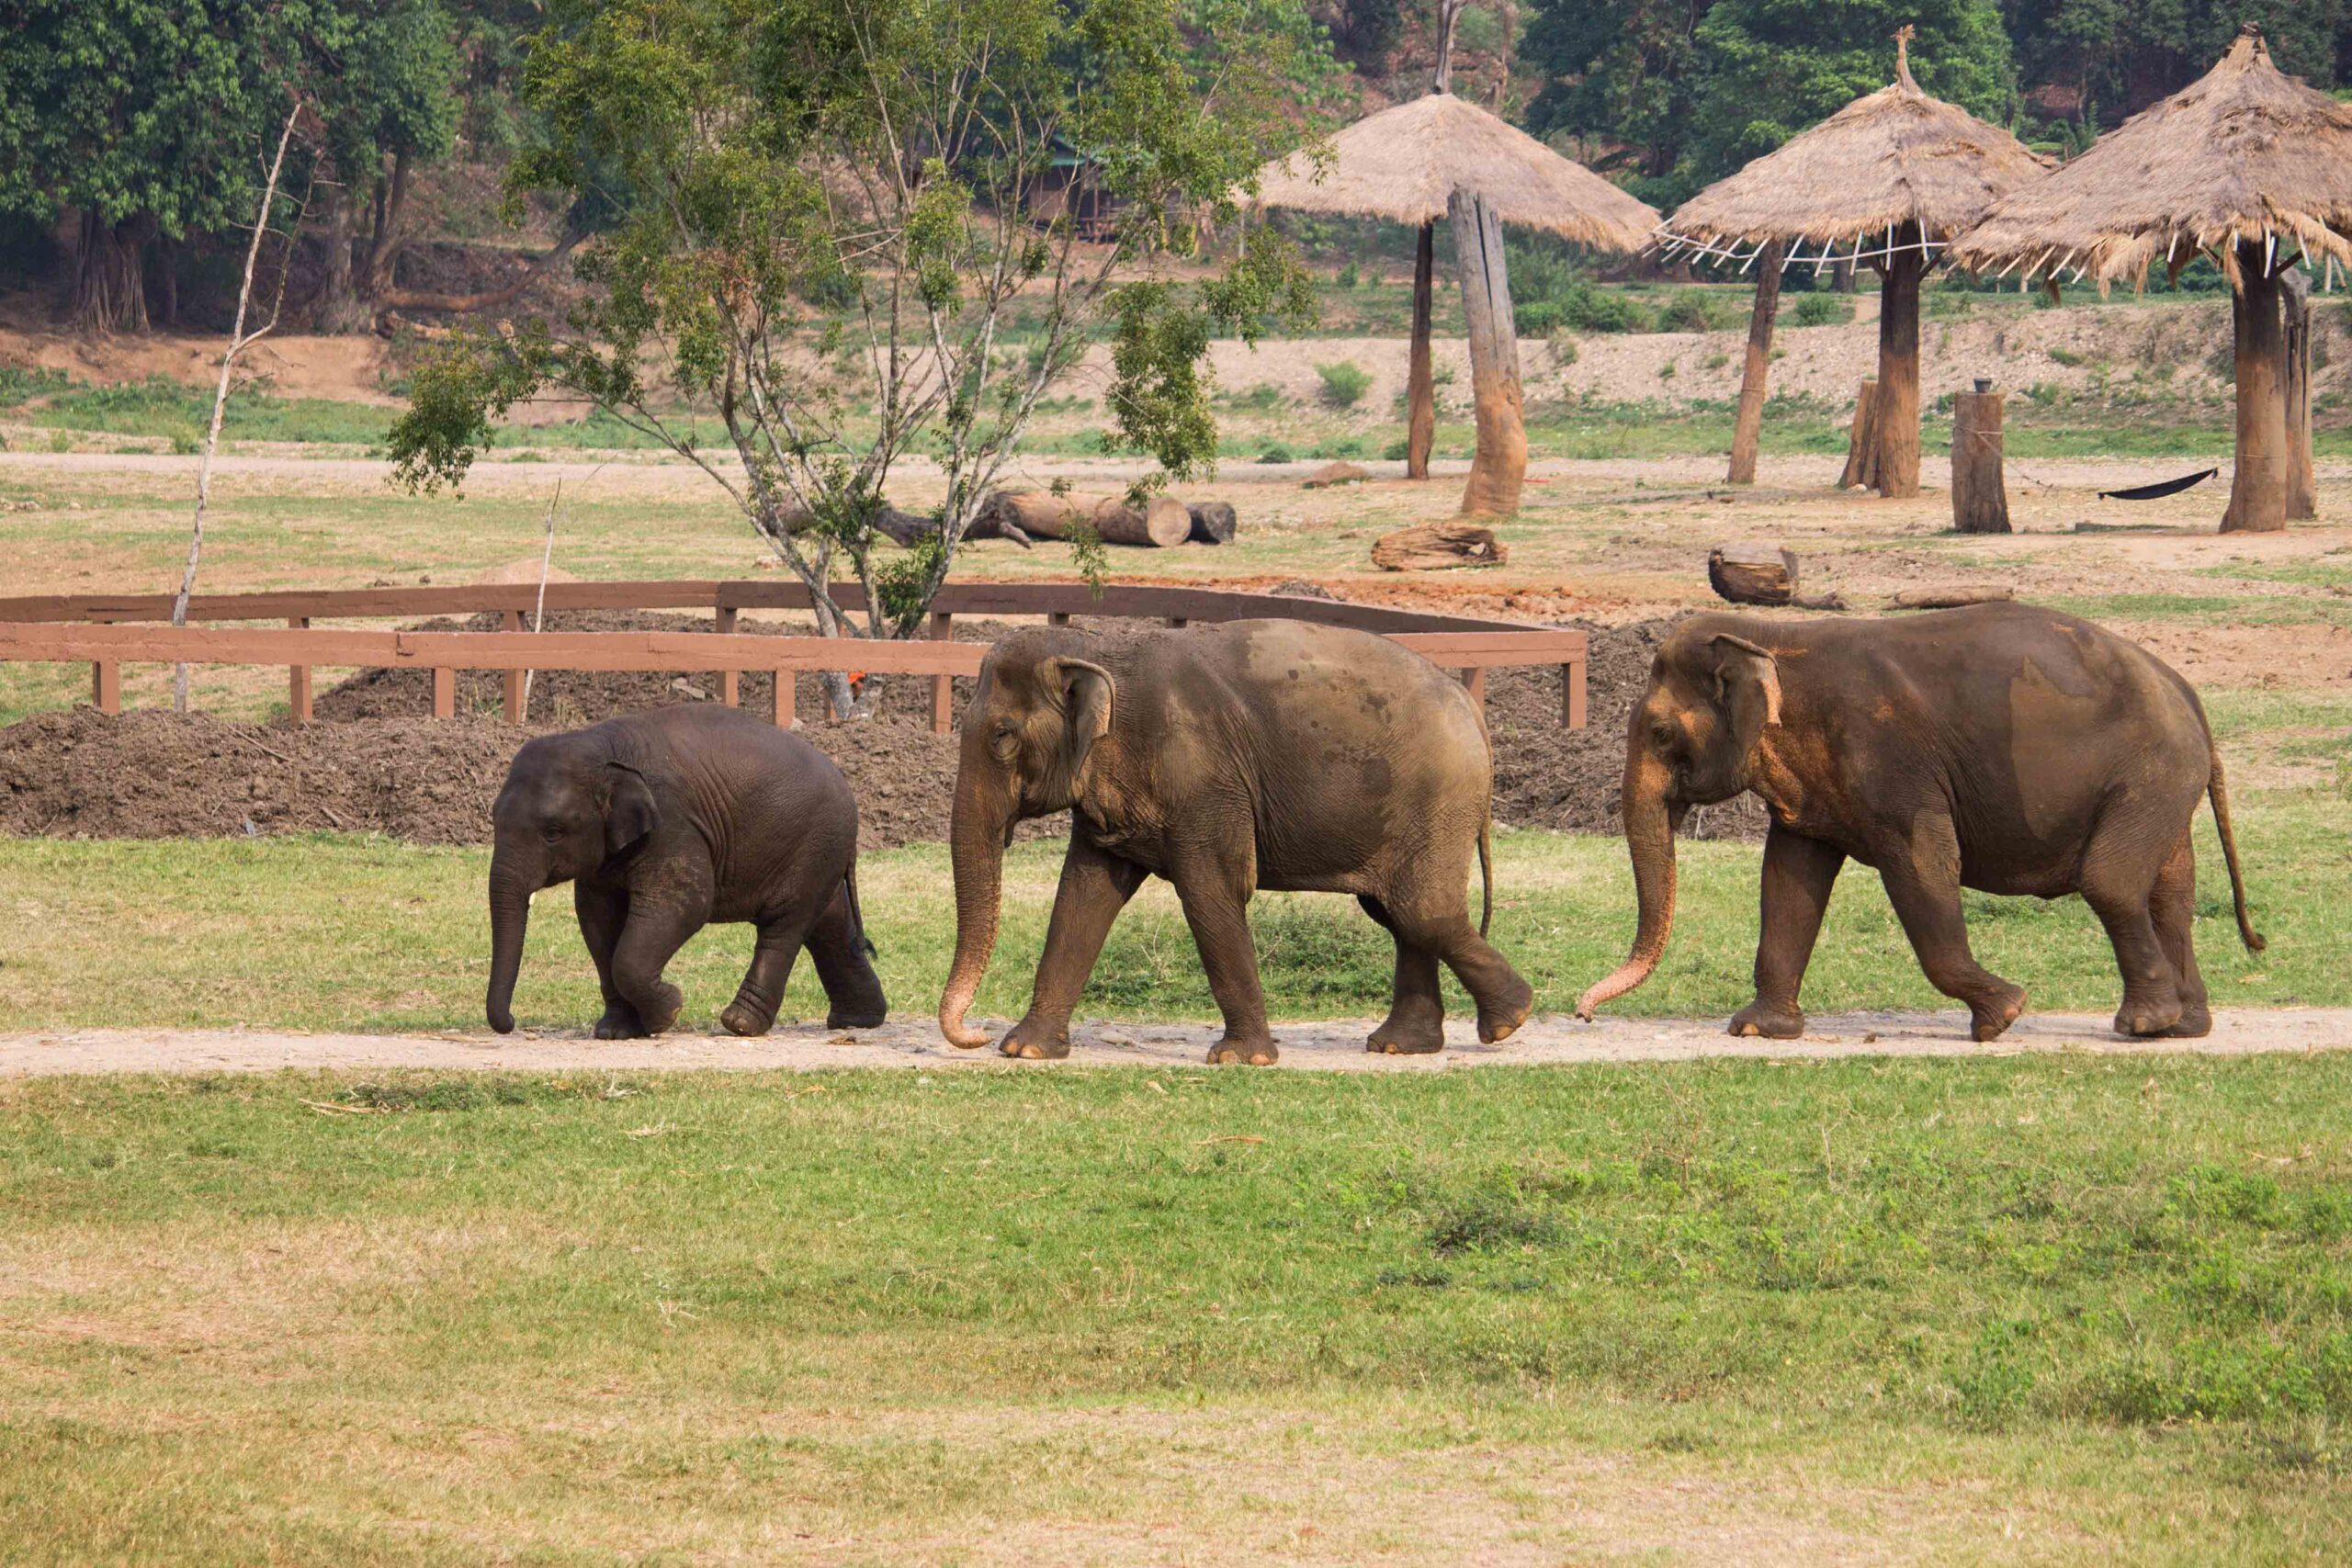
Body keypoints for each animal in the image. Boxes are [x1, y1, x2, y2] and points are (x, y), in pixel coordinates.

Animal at [485, 704, 888, 1039]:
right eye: (493, 819)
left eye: (553, 832)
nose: (511, 1023)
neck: (601, 745)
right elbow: (597, 918)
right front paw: (616, 1032)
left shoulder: (673, 823)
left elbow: (686, 903)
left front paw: (668, 1012)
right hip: (820, 851)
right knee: (829, 925)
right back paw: (856, 1022)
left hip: (812, 842)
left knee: (784, 926)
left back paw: (740, 1025)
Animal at [936, 620, 1534, 1065]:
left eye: (1002, 736)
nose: (977, 1035)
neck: (1102, 648)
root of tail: (1471, 706)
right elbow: (1084, 895)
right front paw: (1026, 1051)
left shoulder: (1204, 780)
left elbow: (1211, 891)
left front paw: (1240, 1059)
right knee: (1399, 914)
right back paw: (1402, 1047)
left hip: (1436, 801)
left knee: (1422, 911)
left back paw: (1510, 1021)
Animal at [1577, 603, 2264, 1042]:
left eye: (1660, 732)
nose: (1582, 1013)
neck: (1771, 636)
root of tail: (2186, 691)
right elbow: (1789, 880)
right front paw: (1756, 1029)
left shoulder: (1893, 767)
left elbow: (1923, 868)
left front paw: (2002, 1016)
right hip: (2163, 783)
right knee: (2172, 890)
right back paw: (2185, 1026)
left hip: (2148, 772)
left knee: (2112, 883)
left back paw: (2144, 1025)